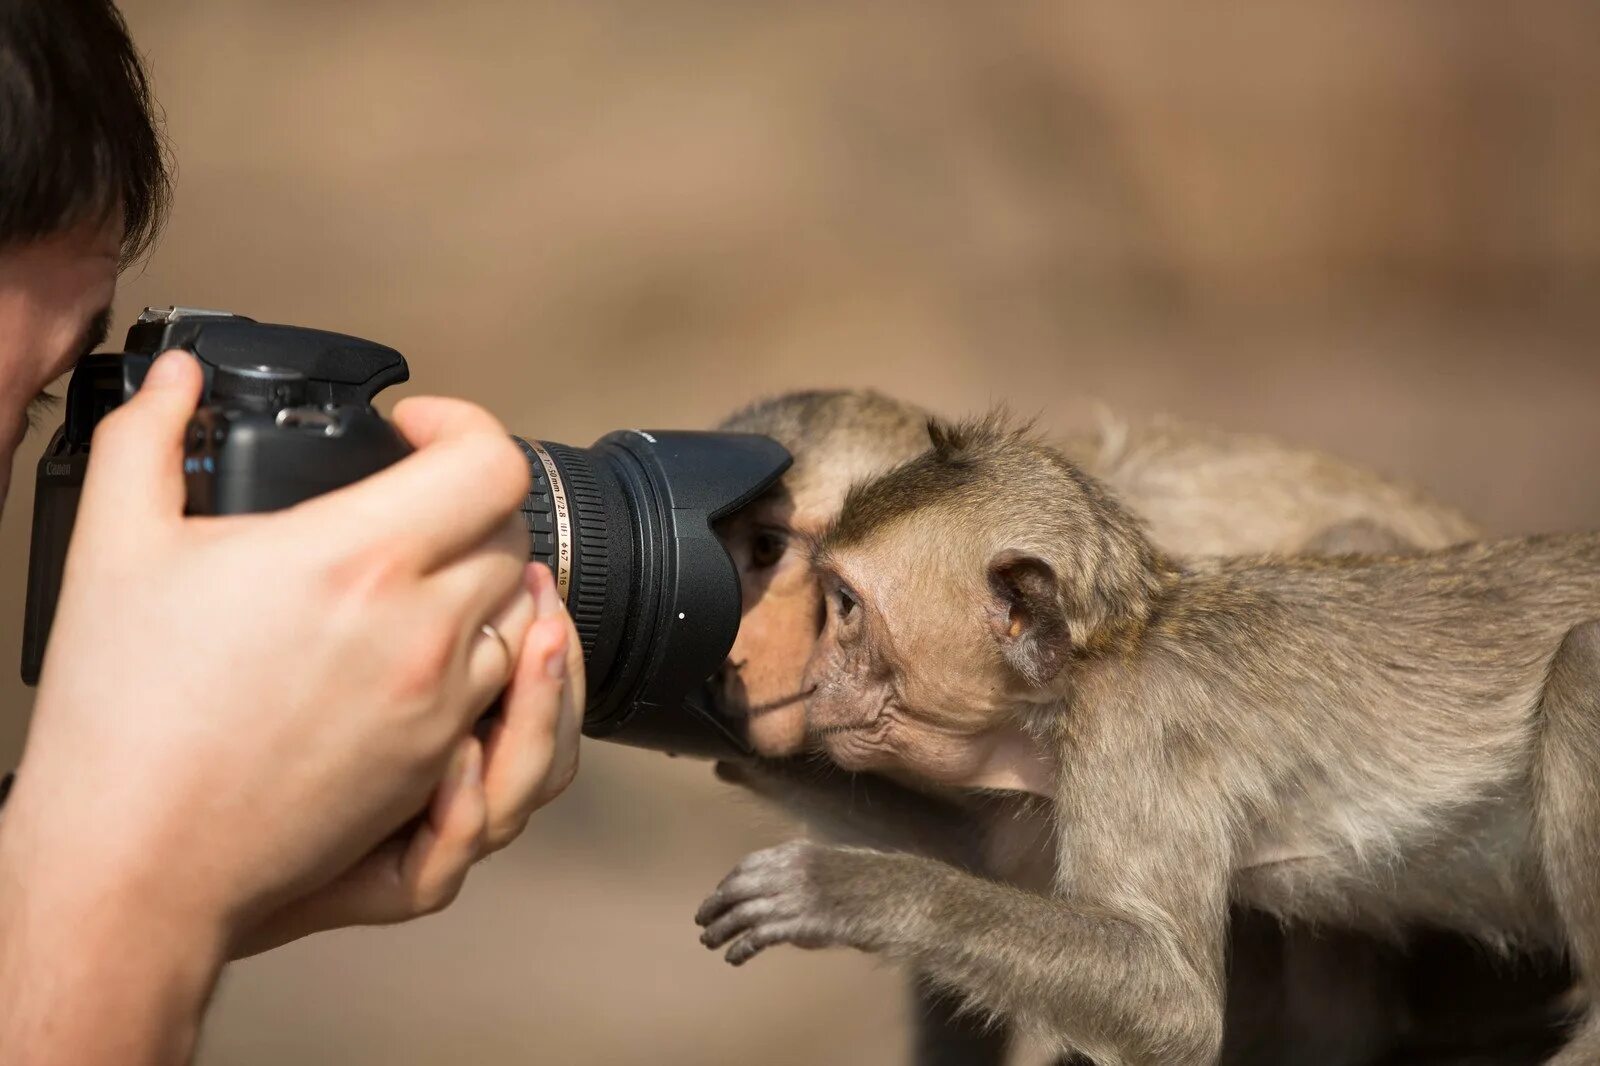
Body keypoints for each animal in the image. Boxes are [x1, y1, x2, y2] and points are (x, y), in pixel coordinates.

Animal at [697, 412, 1587, 1062]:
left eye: (843, 605)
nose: (811, 667)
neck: (1100, 658)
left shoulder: (1137, 739)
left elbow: (1172, 1001)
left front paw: (848, 888)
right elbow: (984, 855)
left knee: (1582, 663)